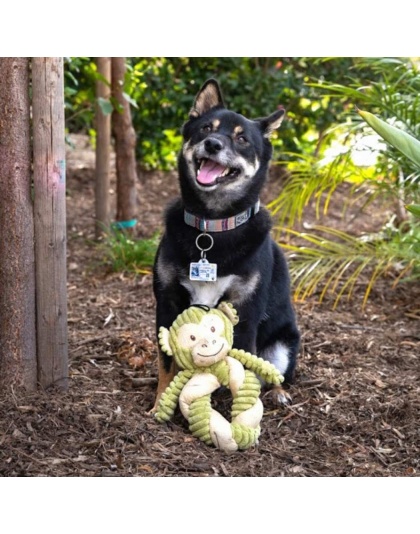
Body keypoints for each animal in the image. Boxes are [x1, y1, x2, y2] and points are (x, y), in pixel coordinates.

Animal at [153, 78, 300, 410]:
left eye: (242, 139)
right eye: (206, 128)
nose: (213, 144)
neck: (212, 226)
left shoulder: (244, 311)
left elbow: (242, 366)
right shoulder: (167, 303)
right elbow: (166, 363)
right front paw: (161, 403)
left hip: (283, 344)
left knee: (273, 372)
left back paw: (278, 393)